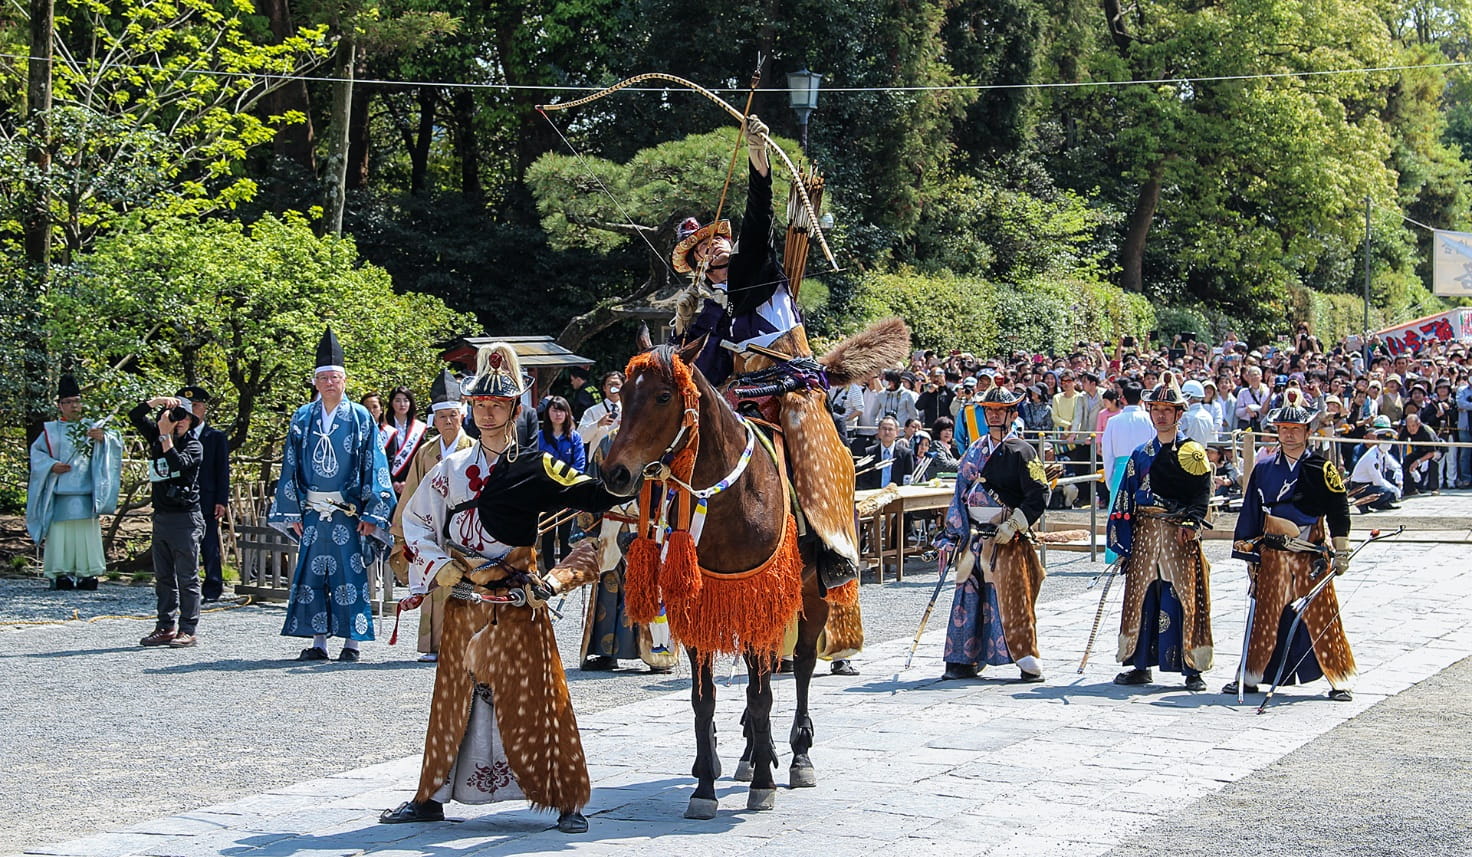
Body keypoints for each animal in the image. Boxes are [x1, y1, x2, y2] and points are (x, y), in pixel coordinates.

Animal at [600, 322, 906, 818]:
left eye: (664, 396)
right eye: (623, 394)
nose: (615, 474)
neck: (731, 497)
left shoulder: (763, 598)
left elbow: (763, 697)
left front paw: (764, 783)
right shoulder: (703, 606)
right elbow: (704, 700)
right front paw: (705, 786)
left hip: (814, 594)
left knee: (801, 667)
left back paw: (798, 756)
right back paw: (749, 755)